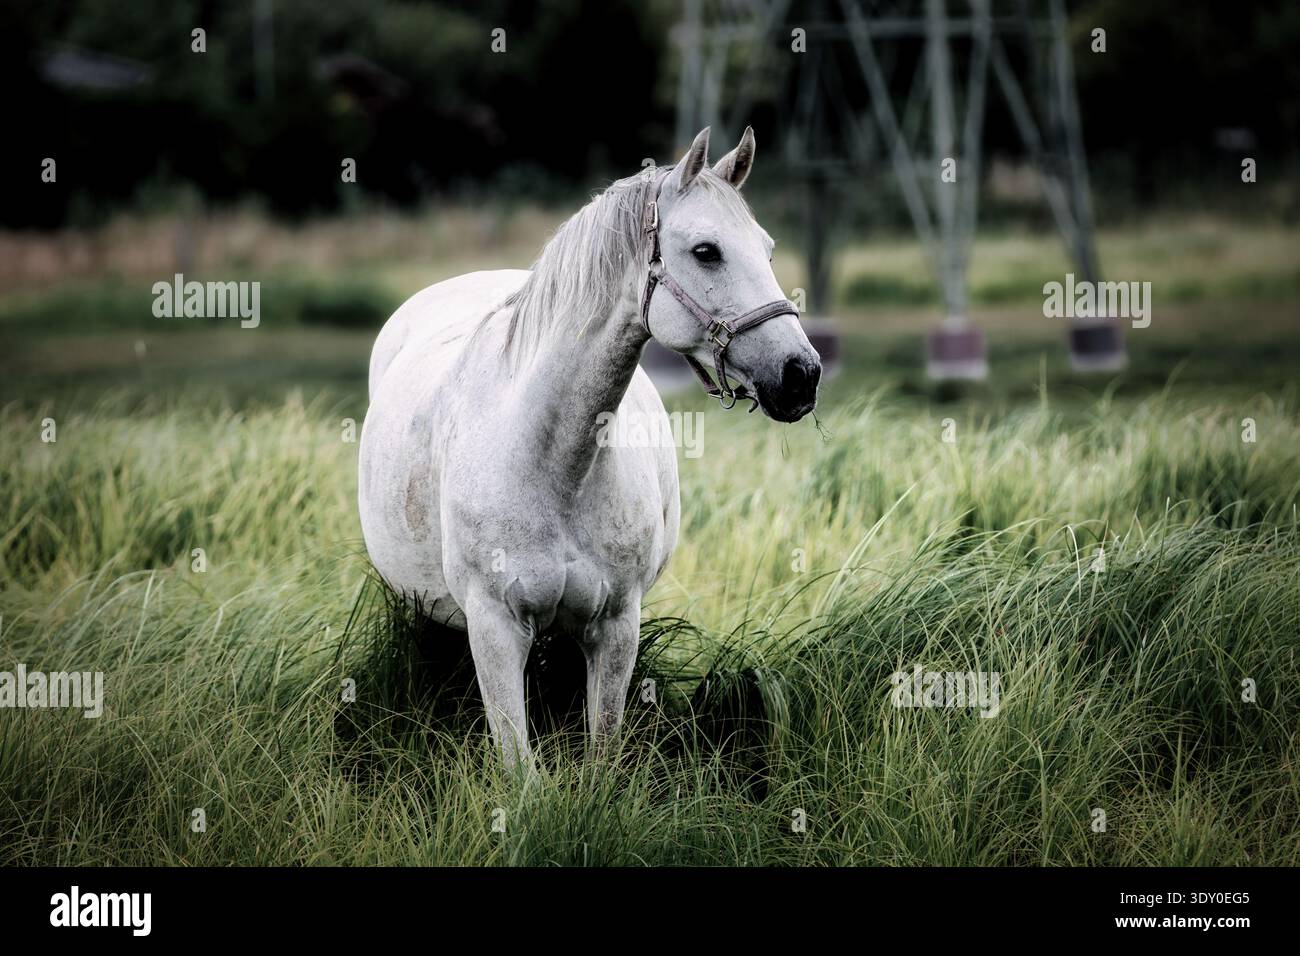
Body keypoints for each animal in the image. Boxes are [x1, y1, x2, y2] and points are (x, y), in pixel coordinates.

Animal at [357, 127, 821, 766]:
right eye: (707, 251)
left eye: (767, 251)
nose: (802, 374)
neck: (556, 464)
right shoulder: (494, 629)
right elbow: (519, 769)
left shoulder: (616, 626)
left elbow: (602, 751)